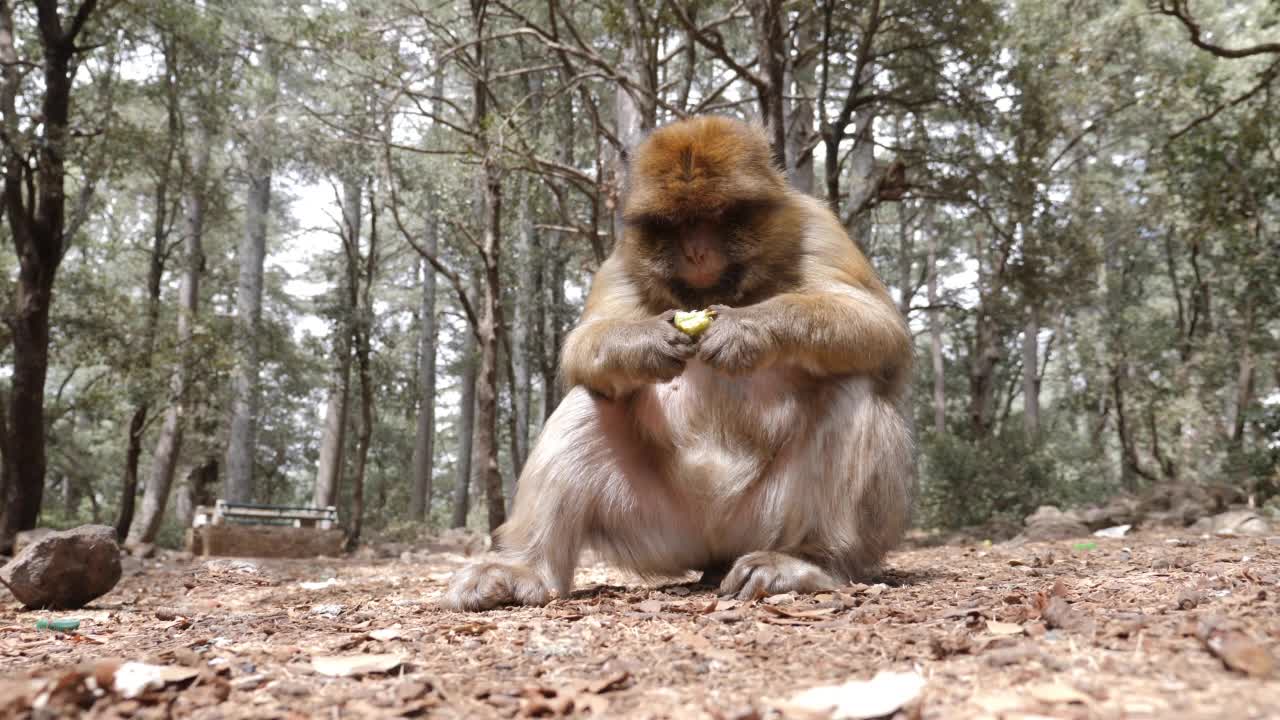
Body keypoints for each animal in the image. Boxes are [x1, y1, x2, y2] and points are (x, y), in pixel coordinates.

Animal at [445, 114, 916, 607]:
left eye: (715, 218)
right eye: (677, 224)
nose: (696, 251)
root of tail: (715, 546)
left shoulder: (816, 225)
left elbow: (879, 329)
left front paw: (747, 329)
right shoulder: (624, 257)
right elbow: (583, 348)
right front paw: (645, 342)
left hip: (764, 518)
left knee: (852, 386)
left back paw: (811, 560)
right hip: (661, 525)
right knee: (587, 400)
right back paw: (524, 569)